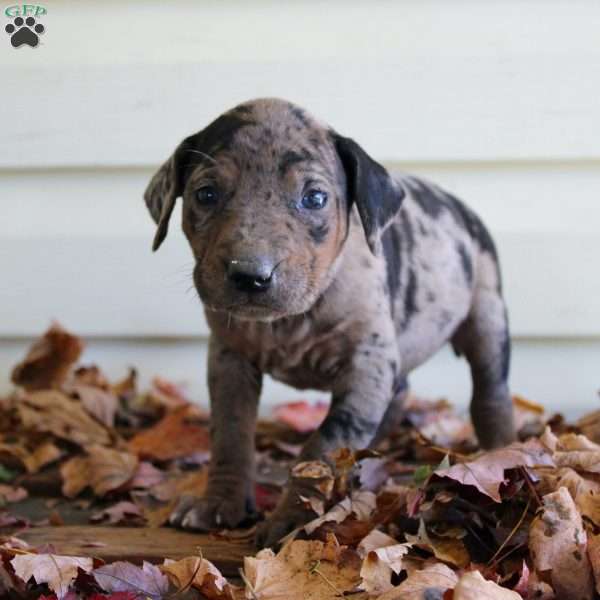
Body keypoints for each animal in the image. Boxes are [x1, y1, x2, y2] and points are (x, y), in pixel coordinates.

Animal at [143, 96, 512, 548]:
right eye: (206, 194)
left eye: (315, 198)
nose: (250, 275)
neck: (288, 321)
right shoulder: (228, 358)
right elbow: (230, 433)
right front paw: (219, 503)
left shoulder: (366, 362)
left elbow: (322, 447)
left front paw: (293, 518)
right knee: (398, 393)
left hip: (486, 314)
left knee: (490, 392)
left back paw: (503, 453)